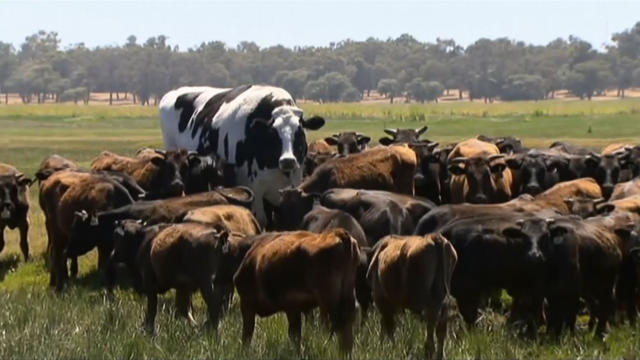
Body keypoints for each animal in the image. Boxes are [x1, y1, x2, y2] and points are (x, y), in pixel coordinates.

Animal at [158, 84, 328, 225]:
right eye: (273, 133)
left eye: (299, 132)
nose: (288, 160)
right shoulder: (254, 189)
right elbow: (262, 220)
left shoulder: (292, 185)